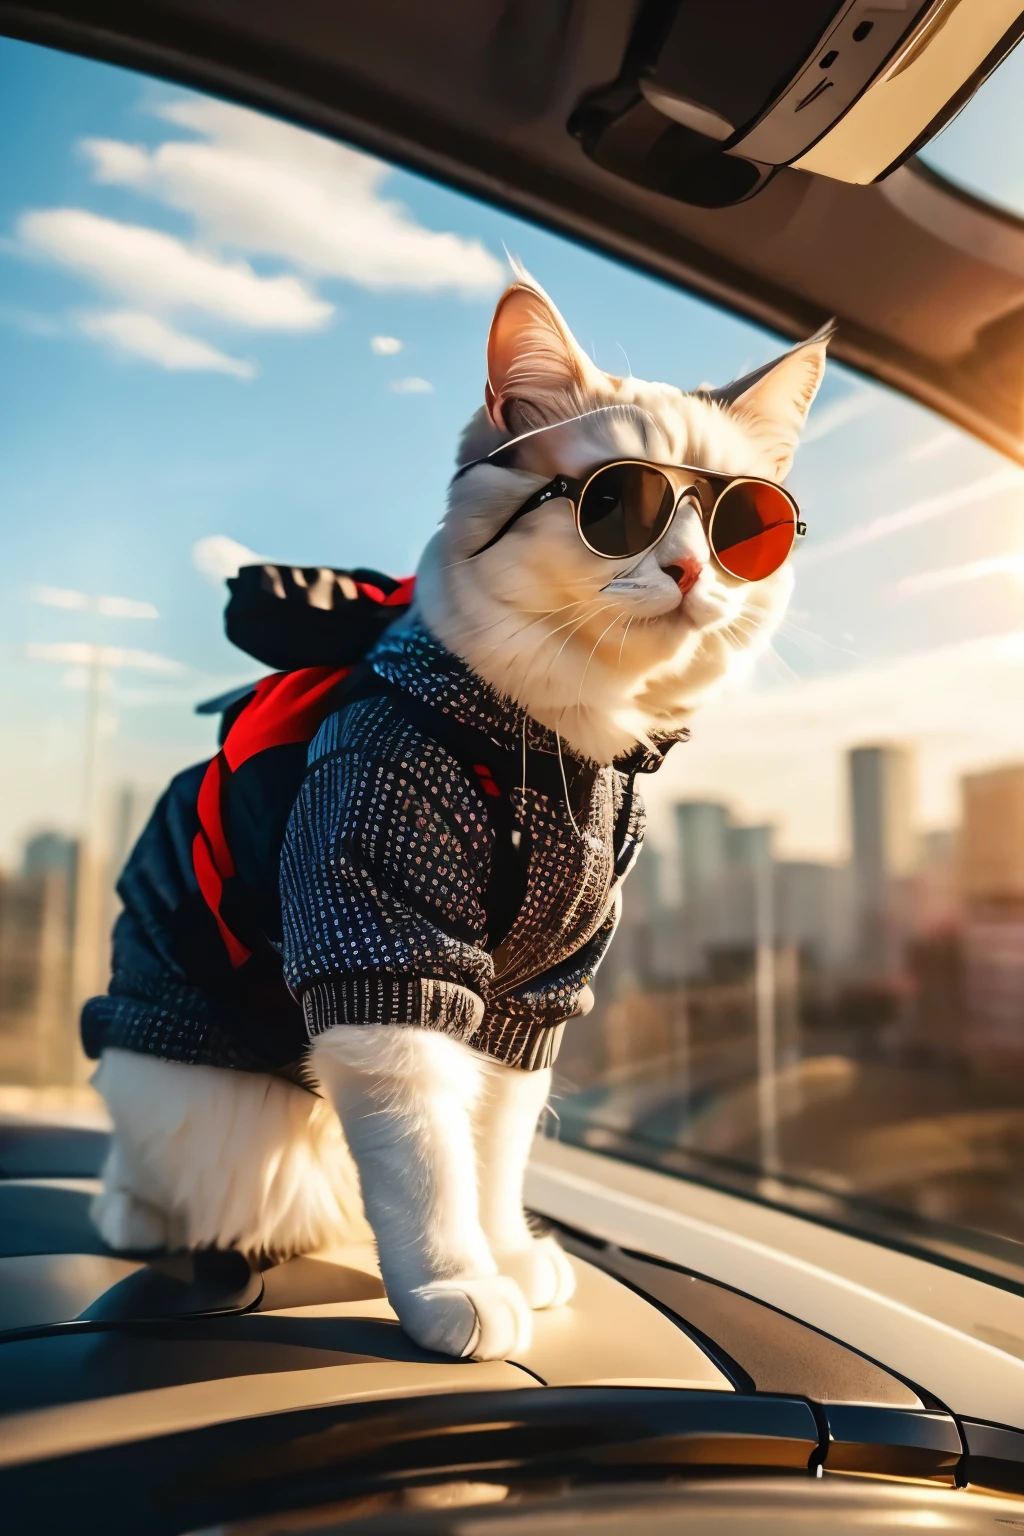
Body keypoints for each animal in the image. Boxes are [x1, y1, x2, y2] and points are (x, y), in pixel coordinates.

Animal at [85, 273, 822, 1357]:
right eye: (618, 504)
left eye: (742, 525)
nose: (691, 570)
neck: (559, 758)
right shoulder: (388, 950)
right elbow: (427, 1166)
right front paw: (456, 1288)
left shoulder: (531, 997)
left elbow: (493, 1153)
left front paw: (507, 1257)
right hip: (186, 1090)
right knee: (149, 1163)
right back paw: (131, 1212)